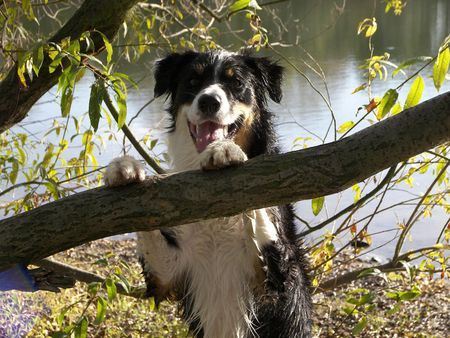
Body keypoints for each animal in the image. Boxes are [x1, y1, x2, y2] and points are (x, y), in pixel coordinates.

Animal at [104, 50, 312, 338]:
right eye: (193, 81)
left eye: (236, 83)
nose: (209, 101)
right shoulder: (168, 271)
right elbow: (149, 236)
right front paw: (124, 168)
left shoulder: (275, 279)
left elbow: (258, 204)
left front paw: (225, 151)